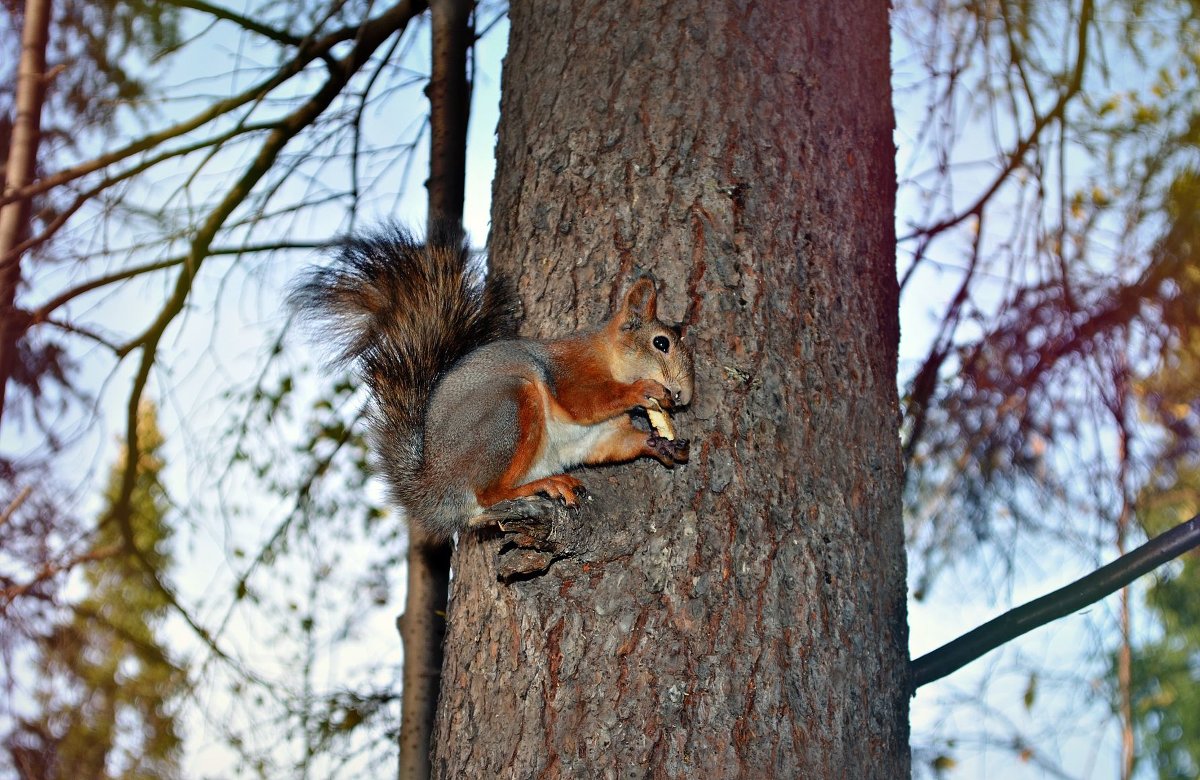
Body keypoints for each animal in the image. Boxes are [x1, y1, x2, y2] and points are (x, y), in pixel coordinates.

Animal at [289, 218, 696, 535]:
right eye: (661, 343)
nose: (683, 397)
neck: (607, 357)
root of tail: (435, 488)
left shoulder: (603, 435)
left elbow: (618, 444)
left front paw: (662, 444)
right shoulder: (571, 371)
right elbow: (584, 402)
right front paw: (644, 389)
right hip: (509, 409)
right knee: (487, 494)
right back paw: (545, 484)